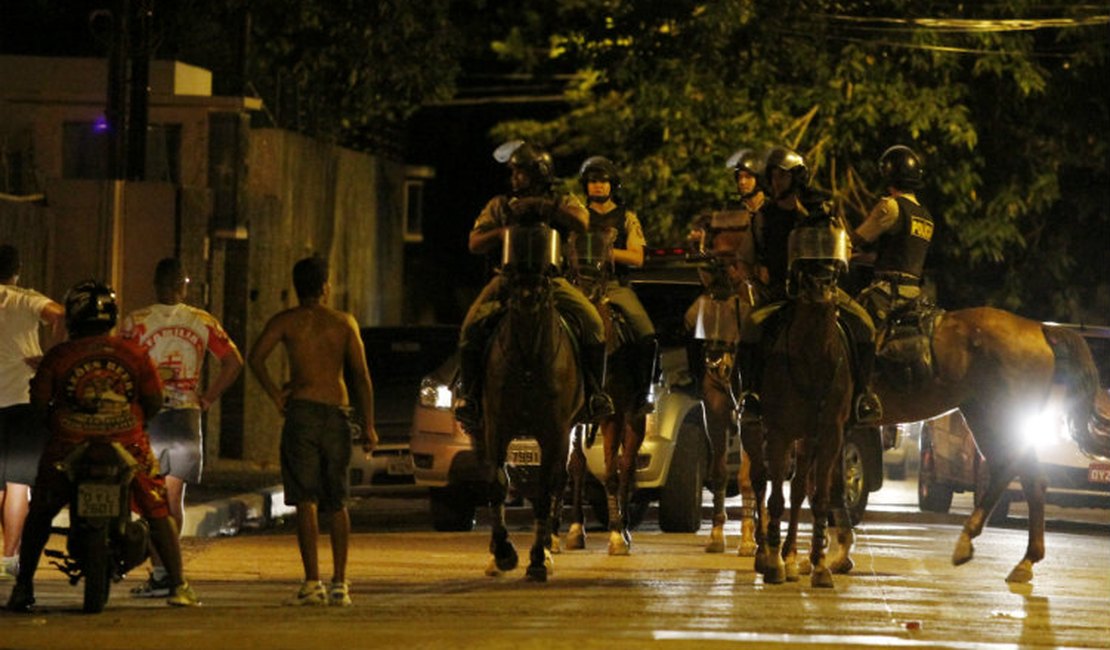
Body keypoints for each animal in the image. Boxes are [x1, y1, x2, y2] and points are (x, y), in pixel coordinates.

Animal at [479, 225, 581, 581]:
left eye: (546, 275)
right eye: (510, 273)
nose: (526, 298)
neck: (527, 360)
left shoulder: (555, 431)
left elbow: (544, 490)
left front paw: (538, 557)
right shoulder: (495, 425)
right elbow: (497, 482)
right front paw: (503, 552)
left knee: (559, 481)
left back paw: (549, 545)